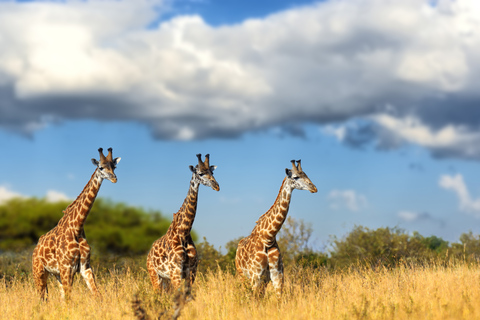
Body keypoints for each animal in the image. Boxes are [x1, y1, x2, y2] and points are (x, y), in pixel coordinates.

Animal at [32, 148, 121, 300]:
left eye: (114, 166)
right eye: (100, 167)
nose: (114, 178)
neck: (77, 228)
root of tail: (35, 249)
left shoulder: (85, 267)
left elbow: (97, 295)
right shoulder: (67, 267)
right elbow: (69, 299)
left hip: (56, 274)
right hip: (39, 271)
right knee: (42, 298)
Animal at [147, 154, 220, 292]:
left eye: (212, 172)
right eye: (200, 173)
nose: (216, 186)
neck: (184, 232)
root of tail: (149, 252)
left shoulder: (192, 271)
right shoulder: (176, 271)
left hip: (166, 279)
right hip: (154, 275)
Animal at [234, 160, 316, 298]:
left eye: (306, 174)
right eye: (296, 177)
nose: (314, 188)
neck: (268, 237)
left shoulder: (277, 275)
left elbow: (279, 299)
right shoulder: (255, 276)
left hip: (263, 280)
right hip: (242, 276)